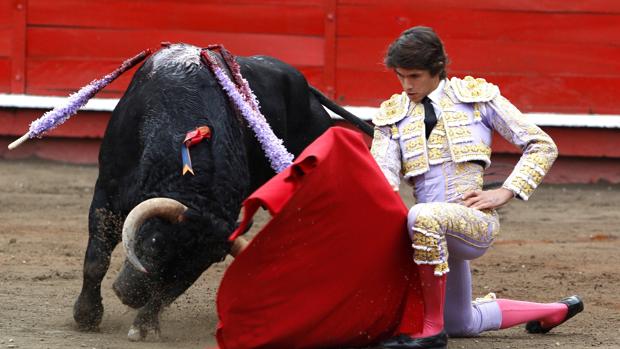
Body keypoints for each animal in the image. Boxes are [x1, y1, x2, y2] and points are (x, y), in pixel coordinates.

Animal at [72, 43, 372, 338]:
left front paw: (144, 325)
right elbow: (96, 259)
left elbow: (166, 294)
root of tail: (308, 89)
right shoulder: (107, 192)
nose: (129, 296)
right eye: (154, 244)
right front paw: (86, 316)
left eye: (193, 270)